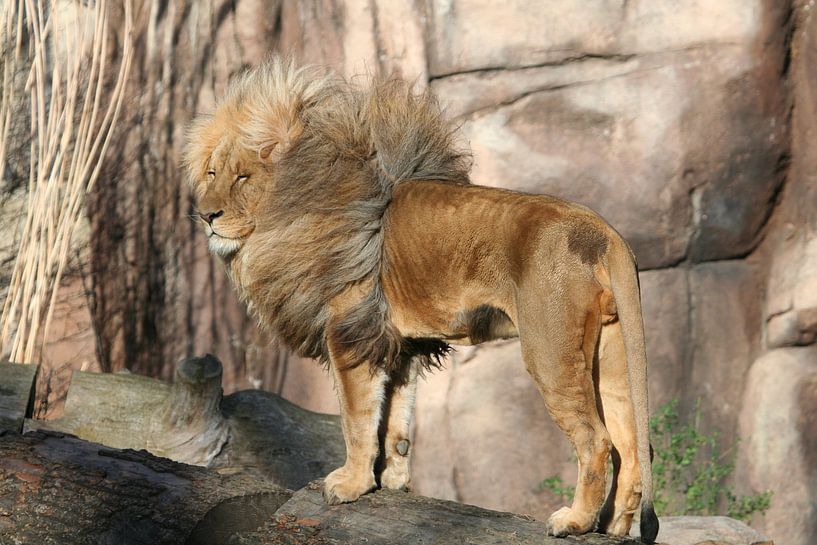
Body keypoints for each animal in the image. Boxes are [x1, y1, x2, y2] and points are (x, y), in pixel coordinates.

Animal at [183, 57, 656, 540]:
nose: (206, 214)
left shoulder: (350, 331)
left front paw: (350, 485)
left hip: (550, 350)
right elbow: (395, 421)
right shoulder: (398, 342)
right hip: (611, 354)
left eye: (243, 176)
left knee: (596, 440)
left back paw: (574, 521)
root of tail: (605, 234)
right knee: (633, 446)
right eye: (212, 173)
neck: (291, 209)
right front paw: (390, 481)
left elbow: (356, 420)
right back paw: (613, 526)